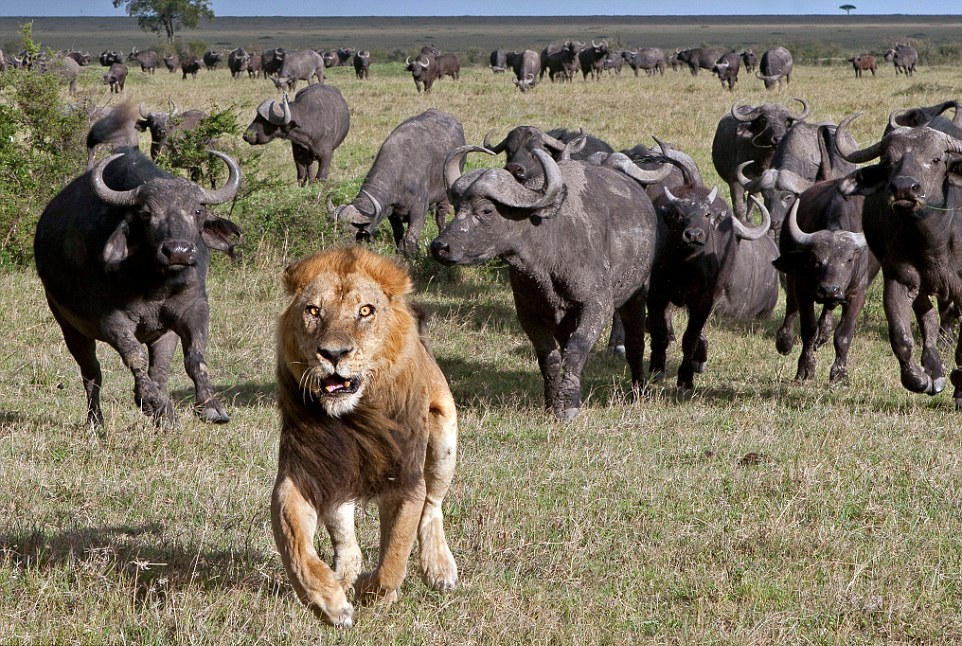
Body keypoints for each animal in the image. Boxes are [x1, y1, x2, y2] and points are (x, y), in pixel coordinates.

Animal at [272, 245, 459, 627]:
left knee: (433, 506)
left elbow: (395, 554)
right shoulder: (304, 473)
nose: (333, 354)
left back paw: (439, 569)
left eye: (366, 311)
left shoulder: (404, 480)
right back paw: (342, 577)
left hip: (444, 435)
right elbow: (295, 544)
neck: (354, 418)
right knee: (347, 540)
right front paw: (330, 602)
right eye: (313, 311)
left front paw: (376, 594)